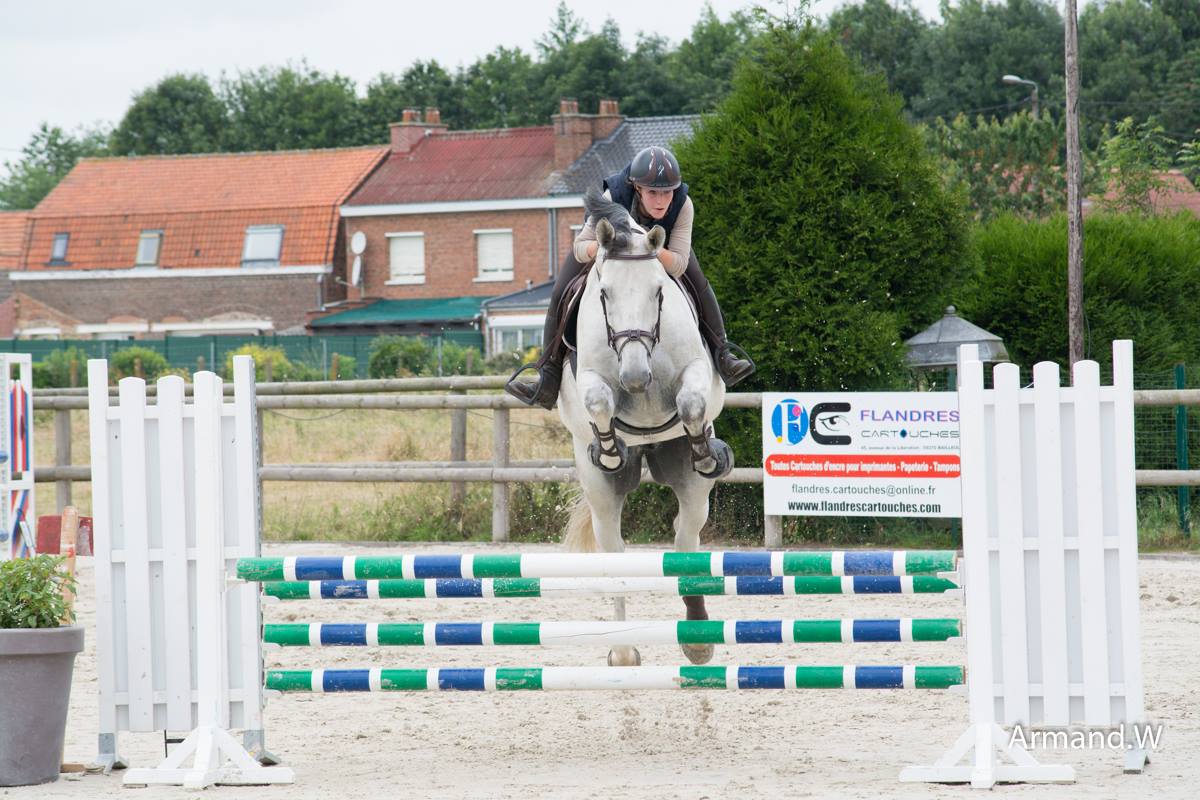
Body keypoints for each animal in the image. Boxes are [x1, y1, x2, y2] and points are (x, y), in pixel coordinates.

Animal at [559, 190, 729, 666]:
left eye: (658, 292)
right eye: (604, 294)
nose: (636, 378)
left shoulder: (696, 375)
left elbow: (691, 403)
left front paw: (707, 451)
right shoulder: (589, 380)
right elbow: (599, 401)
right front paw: (610, 448)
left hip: (688, 484)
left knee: (685, 536)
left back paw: (697, 638)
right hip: (601, 493)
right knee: (614, 552)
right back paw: (622, 652)